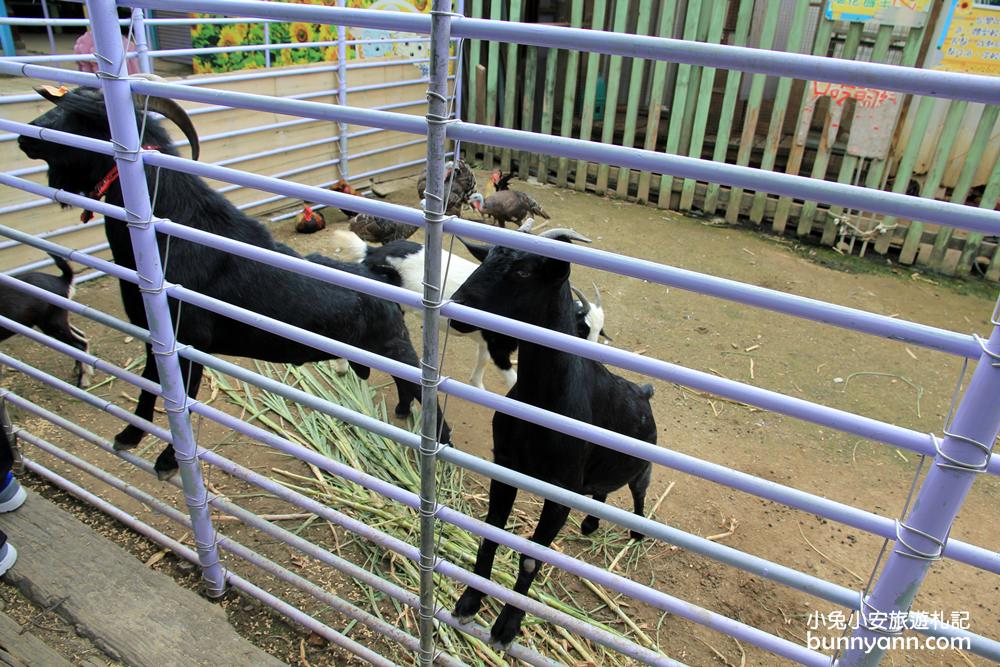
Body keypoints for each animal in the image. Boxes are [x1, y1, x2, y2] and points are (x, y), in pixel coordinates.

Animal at [0, 258, 93, 392]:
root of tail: (62, 279)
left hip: (52, 324)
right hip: (57, 320)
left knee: (79, 344)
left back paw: (82, 382)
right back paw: (83, 372)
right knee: (82, 336)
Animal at [20, 85, 450, 480]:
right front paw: (129, 435)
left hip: (395, 348)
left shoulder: (186, 337)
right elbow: (150, 384)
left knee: (428, 404)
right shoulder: (153, 334)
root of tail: (380, 278)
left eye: (83, 117)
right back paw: (401, 415)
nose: (26, 136)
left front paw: (168, 460)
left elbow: (181, 395)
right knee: (404, 388)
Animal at [328, 227, 608, 388]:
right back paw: (341, 369)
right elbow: (512, 381)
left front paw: (476, 385)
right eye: (582, 328)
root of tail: (371, 251)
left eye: (599, 331)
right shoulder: (499, 346)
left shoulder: (487, 341)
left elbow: (481, 361)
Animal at [448, 226, 652, 648]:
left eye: (524, 271)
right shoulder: (506, 466)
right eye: (486, 258)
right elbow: (491, 533)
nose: (458, 306)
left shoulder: (560, 490)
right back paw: (590, 525)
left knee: (638, 491)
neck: (543, 399)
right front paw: (470, 600)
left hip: (640, 467)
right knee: (600, 492)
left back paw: (637, 531)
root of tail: (644, 392)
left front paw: (507, 627)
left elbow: (531, 557)